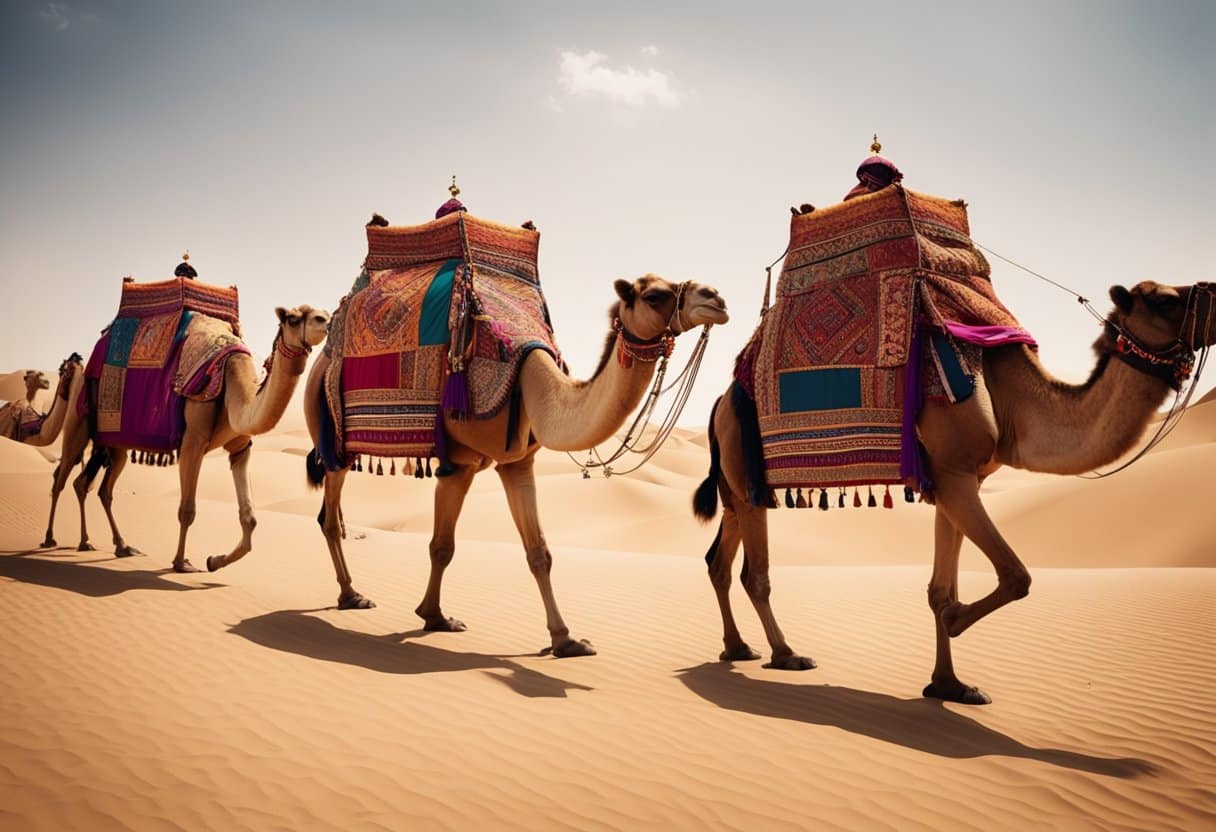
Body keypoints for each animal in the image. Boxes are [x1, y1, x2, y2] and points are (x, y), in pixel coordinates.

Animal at [49, 306, 330, 573]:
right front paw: (181, 562)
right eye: (293, 318)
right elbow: (187, 510)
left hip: (115, 443)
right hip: (79, 417)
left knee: (97, 488)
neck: (234, 383)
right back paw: (52, 538)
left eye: (324, 314)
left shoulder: (240, 447)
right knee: (62, 479)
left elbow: (249, 518)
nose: (325, 321)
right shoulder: (193, 440)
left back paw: (115, 545)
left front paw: (215, 560)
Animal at [305, 273, 729, 656]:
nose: (716, 298)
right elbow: (442, 546)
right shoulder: (459, 465)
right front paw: (434, 616)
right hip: (333, 440)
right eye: (654, 295)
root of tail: (322, 359)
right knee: (329, 518)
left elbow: (539, 552)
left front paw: (566, 640)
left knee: (332, 514)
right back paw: (351, 595)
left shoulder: (517, 463)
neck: (532, 386)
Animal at [694, 280, 1216, 703]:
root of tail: (720, 400)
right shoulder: (955, 477)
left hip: (735, 487)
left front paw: (949, 685)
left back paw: (737, 647)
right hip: (749, 480)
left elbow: (940, 591)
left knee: (718, 561)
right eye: (1166, 300)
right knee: (754, 574)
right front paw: (956, 626)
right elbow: (1016, 575)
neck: (1013, 402)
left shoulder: (958, 482)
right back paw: (786, 654)